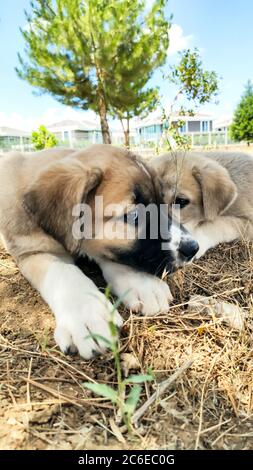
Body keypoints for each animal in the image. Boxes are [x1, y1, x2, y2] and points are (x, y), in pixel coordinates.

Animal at [0, 145, 198, 358]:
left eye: (164, 203)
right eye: (134, 216)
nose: (193, 248)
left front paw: (142, 283)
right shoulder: (30, 250)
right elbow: (63, 271)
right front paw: (86, 313)